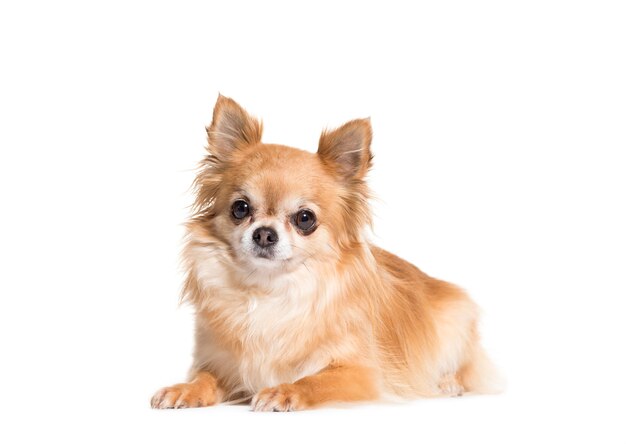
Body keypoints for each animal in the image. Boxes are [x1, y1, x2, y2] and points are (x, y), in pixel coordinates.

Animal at [149, 95, 500, 412]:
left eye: (305, 219)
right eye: (241, 208)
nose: (264, 233)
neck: (269, 292)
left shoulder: (363, 374)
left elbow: (314, 380)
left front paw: (284, 392)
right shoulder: (218, 363)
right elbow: (204, 378)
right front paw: (184, 389)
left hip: (455, 319)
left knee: (468, 371)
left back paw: (448, 383)